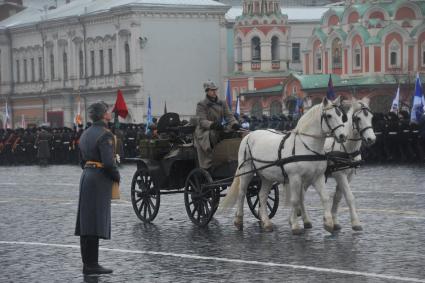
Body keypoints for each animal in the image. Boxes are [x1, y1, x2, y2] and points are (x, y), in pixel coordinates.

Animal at [220, 97, 346, 235]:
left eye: (341, 115)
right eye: (329, 115)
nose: (342, 136)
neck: (307, 146)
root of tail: (248, 135)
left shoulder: (317, 177)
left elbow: (325, 197)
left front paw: (329, 223)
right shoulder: (295, 177)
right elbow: (295, 200)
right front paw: (295, 226)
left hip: (266, 176)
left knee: (262, 195)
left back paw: (266, 223)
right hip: (246, 171)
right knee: (242, 193)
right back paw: (238, 220)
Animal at [298, 96, 374, 232]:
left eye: (371, 117)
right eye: (358, 118)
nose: (372, 139)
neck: (347, 148)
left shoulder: (349, 175)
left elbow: (338, 197)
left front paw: (335, 221)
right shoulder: (340, 175)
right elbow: (349, 196)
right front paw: (355, 223)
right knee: (301, 194)